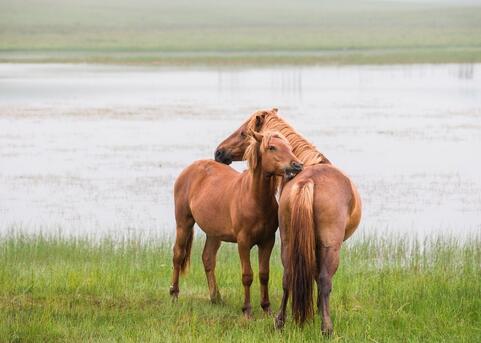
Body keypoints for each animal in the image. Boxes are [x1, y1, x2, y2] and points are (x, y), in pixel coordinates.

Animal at [171, 131, 302, 318]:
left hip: (213, 234)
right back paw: (174, 294)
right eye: (272, 147)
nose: (297, 166)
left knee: (208, 258)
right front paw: (247, 310)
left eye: (289, 147)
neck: (254, 199)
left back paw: (216, 298)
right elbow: (247, 275)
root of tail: (190, 169)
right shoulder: (243, 243)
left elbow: (264, 274)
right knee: (178, 255)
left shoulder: (267, 242)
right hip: (184, 223)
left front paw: (266, 308)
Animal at [215, 109, 360, 336]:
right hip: (330, 246)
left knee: (288, 277)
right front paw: (319, 312)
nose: (219, 152)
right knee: (325, 280)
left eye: (242, 133)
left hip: (288, 241)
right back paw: (326, 327)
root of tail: (308, 181)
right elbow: (319, 278)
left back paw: (280, 321)